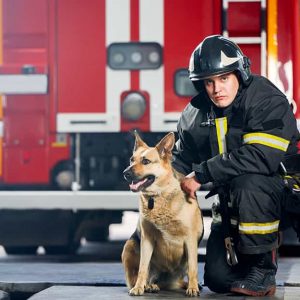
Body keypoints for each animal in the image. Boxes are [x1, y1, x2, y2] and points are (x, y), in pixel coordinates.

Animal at [122, 132, 204, 296]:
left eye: (146, 161)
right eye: (132, 159)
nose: (125, 173)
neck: (158, 196)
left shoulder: (190, 239)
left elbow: (193, 267)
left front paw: (193, 287)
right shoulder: (146, 239)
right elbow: (142, 268)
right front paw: (139, 287)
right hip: (130, 245)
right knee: (144, 274)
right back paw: (148, 285)